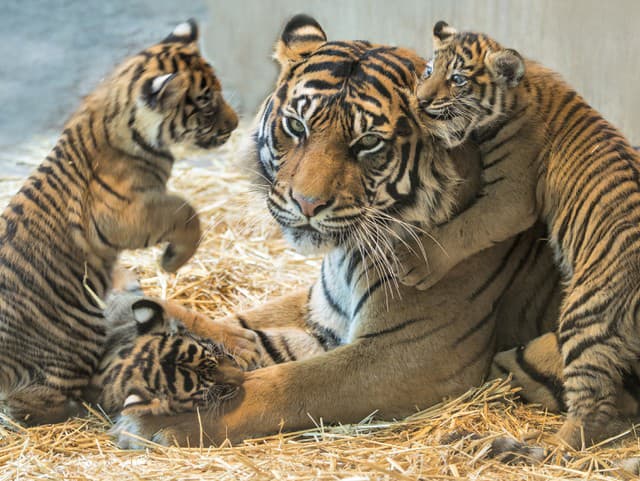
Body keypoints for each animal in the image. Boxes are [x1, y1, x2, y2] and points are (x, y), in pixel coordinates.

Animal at [112, 14, 576, 448]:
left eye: (368, 142)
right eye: (296, 127)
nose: (307, 204)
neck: (346, 255)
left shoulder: (412, 352)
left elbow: (293, 383)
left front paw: (161, 421)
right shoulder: (322, 313)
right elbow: (241, 329)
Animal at [394, 21, 640, 448]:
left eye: (457, 80)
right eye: (429, 70)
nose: (421, 103)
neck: (519, 92)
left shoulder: (510, 198)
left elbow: (465, 228)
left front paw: (417, 262)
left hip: (588, 314)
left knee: (593, 404)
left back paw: (554, 445)